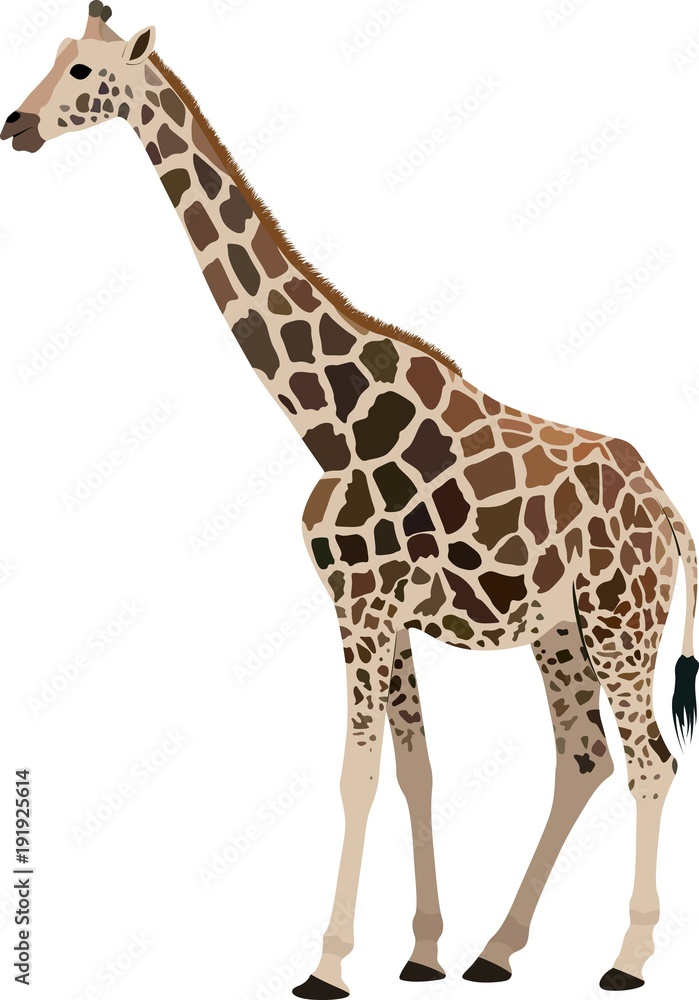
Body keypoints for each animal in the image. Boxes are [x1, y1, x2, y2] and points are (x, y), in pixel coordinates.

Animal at [2, 5, 697, 996]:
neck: (325, 420)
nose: (15, 125)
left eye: (86, 71)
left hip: (619, 622)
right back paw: (496, 950)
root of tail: (668, 510)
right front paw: (422, 952)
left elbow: (355, 775)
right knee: (584, 760)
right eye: (52, 58)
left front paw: (326, 964)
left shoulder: (362, 602)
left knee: (650, 762)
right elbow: (415, 773)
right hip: (561, 631)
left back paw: (627, 959)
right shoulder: (378, 609)